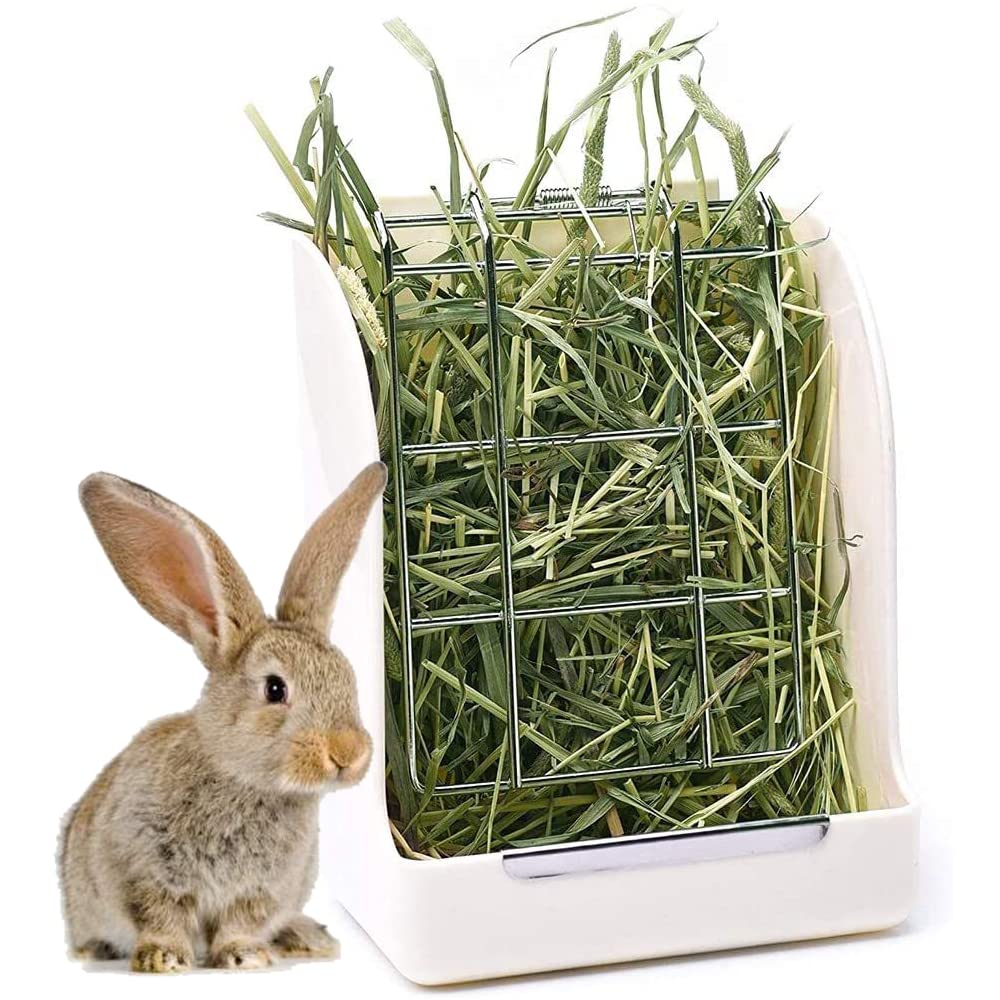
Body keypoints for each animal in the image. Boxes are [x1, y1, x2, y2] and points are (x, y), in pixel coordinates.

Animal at [58, 461, 387, 972]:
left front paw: (245, 956)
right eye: (275, 689)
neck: (244, 781)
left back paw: (306, 938)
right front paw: (165, 960)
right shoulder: (143, 870)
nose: (347, 753)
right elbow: (160, 915)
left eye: (348, 677)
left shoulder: (260, 891)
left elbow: (240, 923)